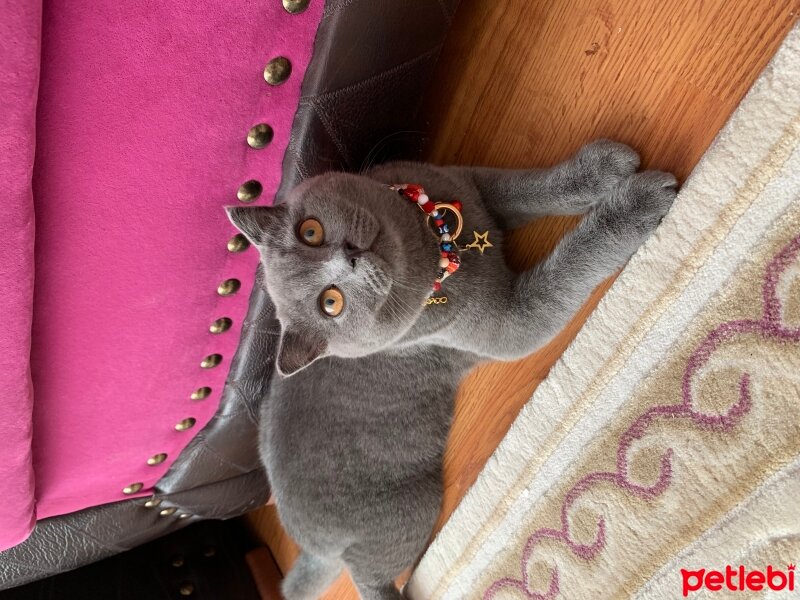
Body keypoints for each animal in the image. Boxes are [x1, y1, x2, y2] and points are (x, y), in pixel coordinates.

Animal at [228, 141, 680, 600]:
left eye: (310, 232)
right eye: (330, 303)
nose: (347, 258)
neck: (433, 244)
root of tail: (313, 546)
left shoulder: (470, 183)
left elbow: (527, 187)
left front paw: (600, 169)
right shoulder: (510, 323)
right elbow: (566, 271)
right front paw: (635, 204)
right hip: (404, 516)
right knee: (372, 580)